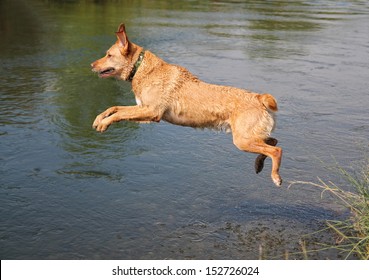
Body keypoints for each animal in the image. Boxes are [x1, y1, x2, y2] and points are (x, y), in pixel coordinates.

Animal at [90, 23, 282, 186]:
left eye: (109, 55)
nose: (91, 65)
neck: (141, 68)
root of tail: (259, 97)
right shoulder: (143, 110)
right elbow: (115, 108)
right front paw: (99, 119)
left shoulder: (152, 111)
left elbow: (119, 114)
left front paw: (104, 124)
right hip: (250, 137)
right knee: (273, 141)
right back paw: (259, 165)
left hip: (243, 140)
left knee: (276, 150)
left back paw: (275, 177)